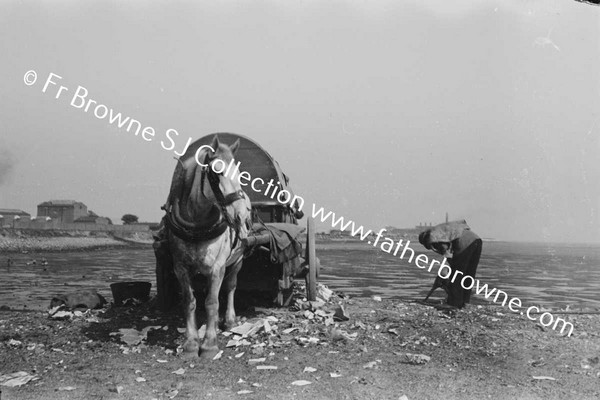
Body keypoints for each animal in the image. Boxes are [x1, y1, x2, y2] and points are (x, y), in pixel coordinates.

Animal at [163, 134, 252, 360]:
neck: (196, 225)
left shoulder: (217, 267)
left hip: (238, 260)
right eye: (217, 172)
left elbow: (212, 302)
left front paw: (209, 344)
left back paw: (229, 320)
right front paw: (191, 343)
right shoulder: (180, 267)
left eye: (240, 174)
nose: (241, 217)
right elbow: (189, 301)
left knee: (230, 287)